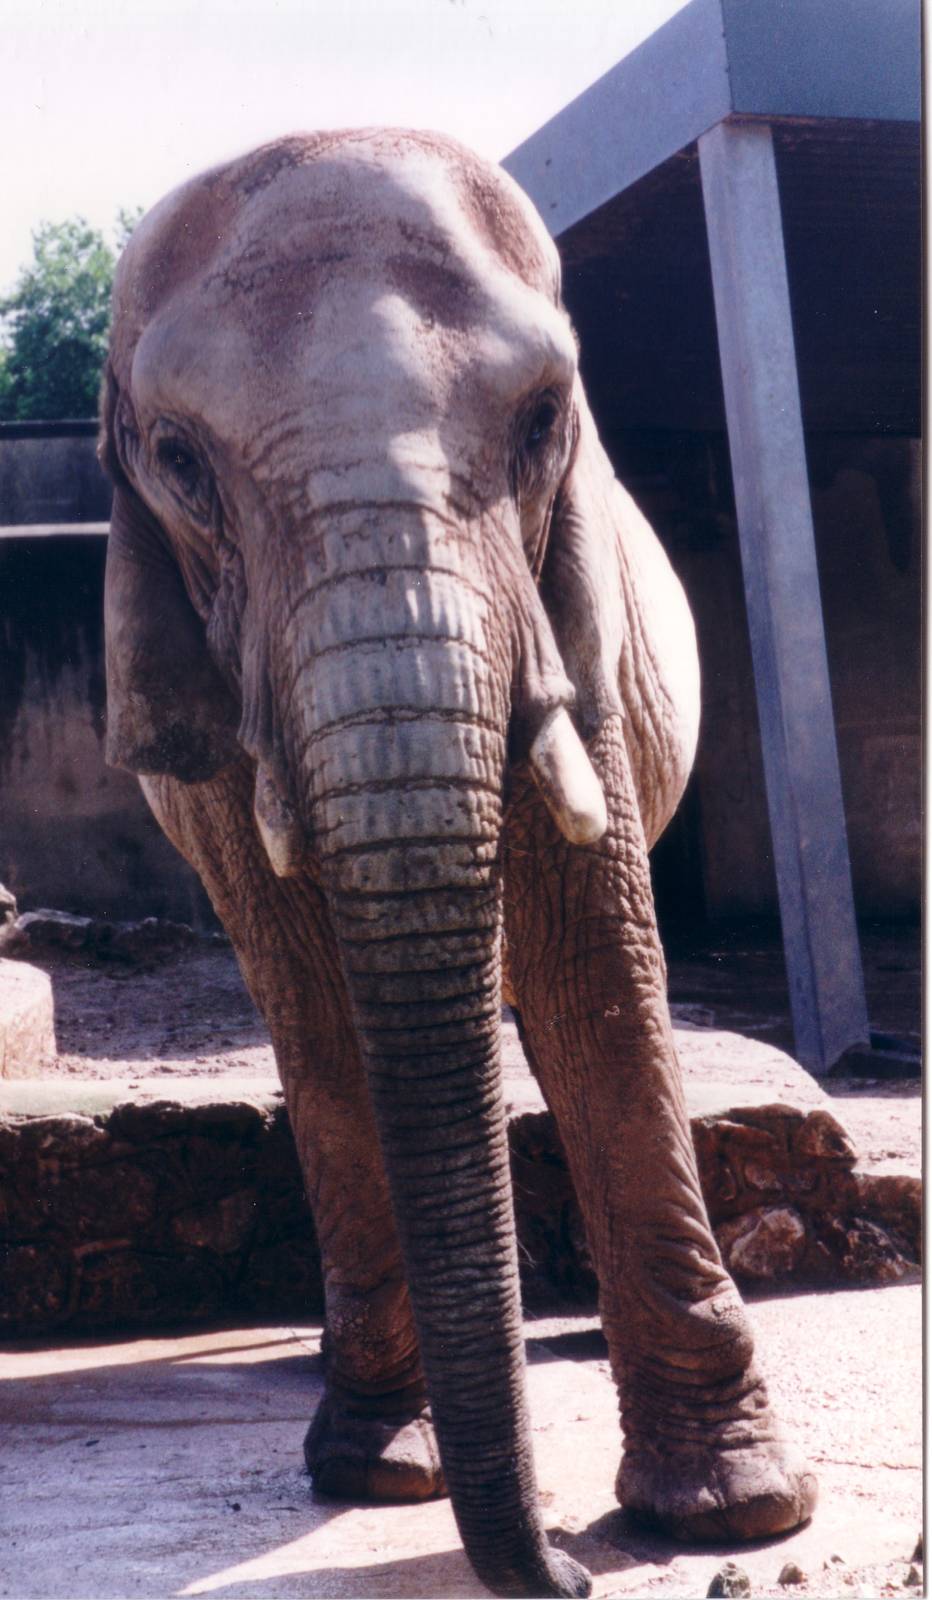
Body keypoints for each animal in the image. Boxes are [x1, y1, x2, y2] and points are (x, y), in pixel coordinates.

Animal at [99, 129, 816, 1599]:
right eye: (178, 459)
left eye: (544, 419)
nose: (573, 1569)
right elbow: (312, 1006)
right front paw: (379, 1473)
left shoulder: (567, 619)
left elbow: (593, 968)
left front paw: (732, 1516)